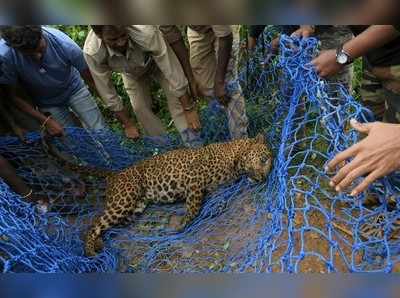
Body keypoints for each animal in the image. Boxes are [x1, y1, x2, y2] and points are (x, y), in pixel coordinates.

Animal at [44, 133, 276, 256]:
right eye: (264, 159)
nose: (264, 178)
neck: (235, 160)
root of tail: (115, 174)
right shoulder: (194, 181)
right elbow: (194, 208)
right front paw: (182, 224)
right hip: (123, 199)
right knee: (94, 225)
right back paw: (90, 251)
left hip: (133, 209)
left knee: (107, 225)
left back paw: (100, 244)